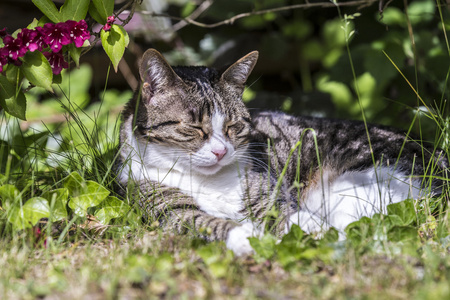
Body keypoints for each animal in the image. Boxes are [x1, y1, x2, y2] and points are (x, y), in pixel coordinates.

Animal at [117, 48, 450, 255]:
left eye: (234, 126)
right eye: (195, 127)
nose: (221, 152)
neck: (207, 181)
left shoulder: (275, 200)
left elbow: (297, 221)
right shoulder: (166, 209)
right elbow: (204, 221)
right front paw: (247, 237)